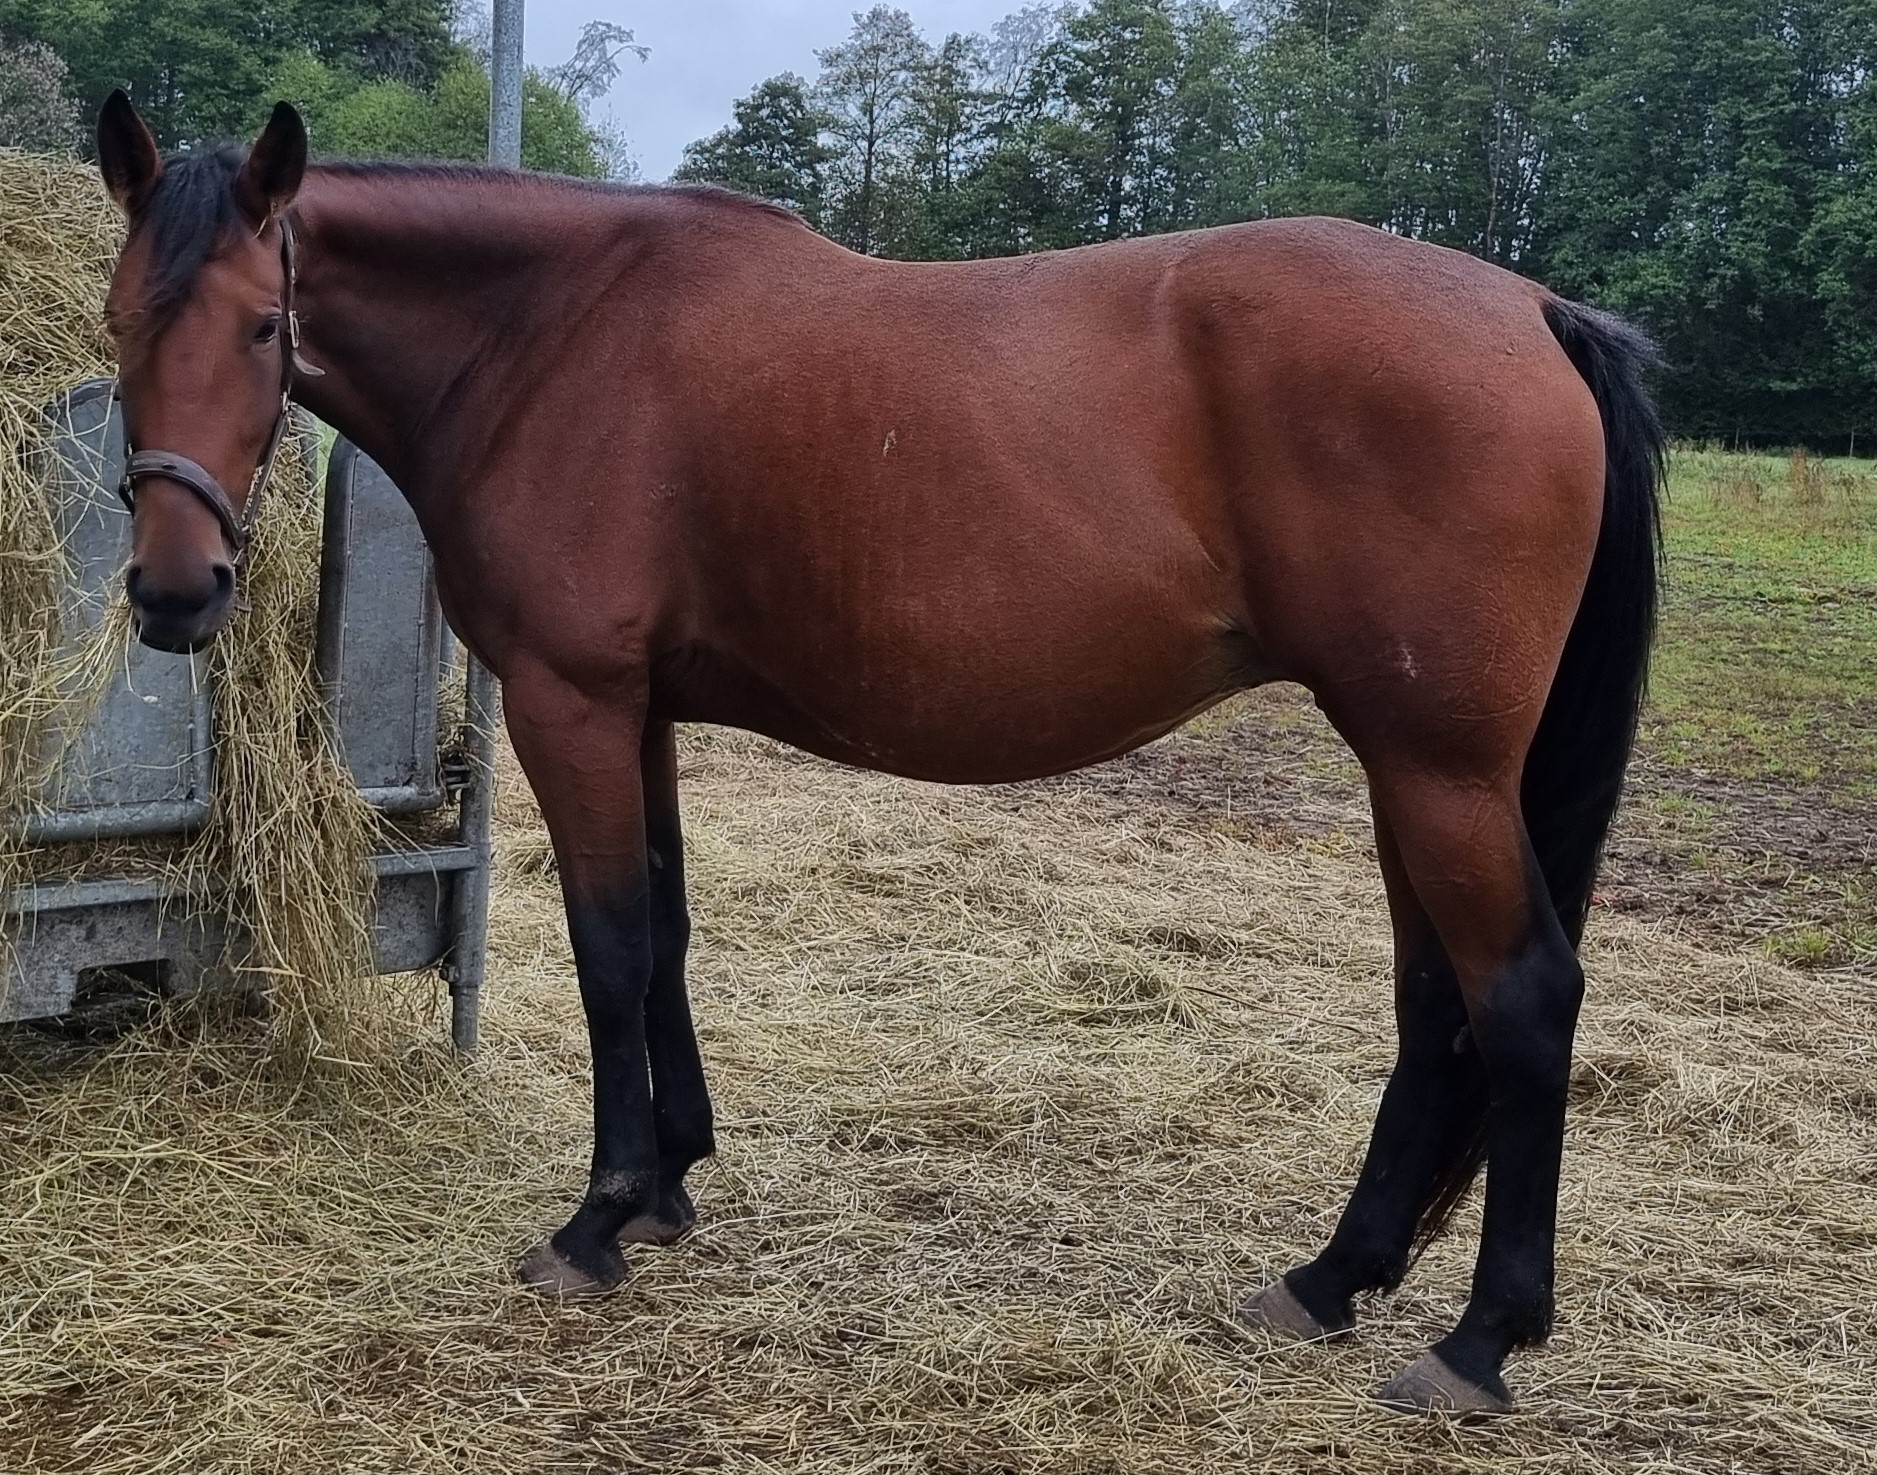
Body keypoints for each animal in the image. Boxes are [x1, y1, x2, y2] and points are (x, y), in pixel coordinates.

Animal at [94, 93, 1664, 1415]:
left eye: (260, 327)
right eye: (119, 321)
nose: (173, 592)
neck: (550, 332)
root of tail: (1533, 309)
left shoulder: (570, 698)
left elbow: (609, 942)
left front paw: (597, 1218)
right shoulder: (640, 710)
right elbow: (665, 930)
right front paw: (669, 1185)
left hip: (1438, 769)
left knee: (1520, 998)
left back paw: (1477, 1340)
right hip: (1414, 773)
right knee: (1432, 1005)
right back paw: (1330, 1278)